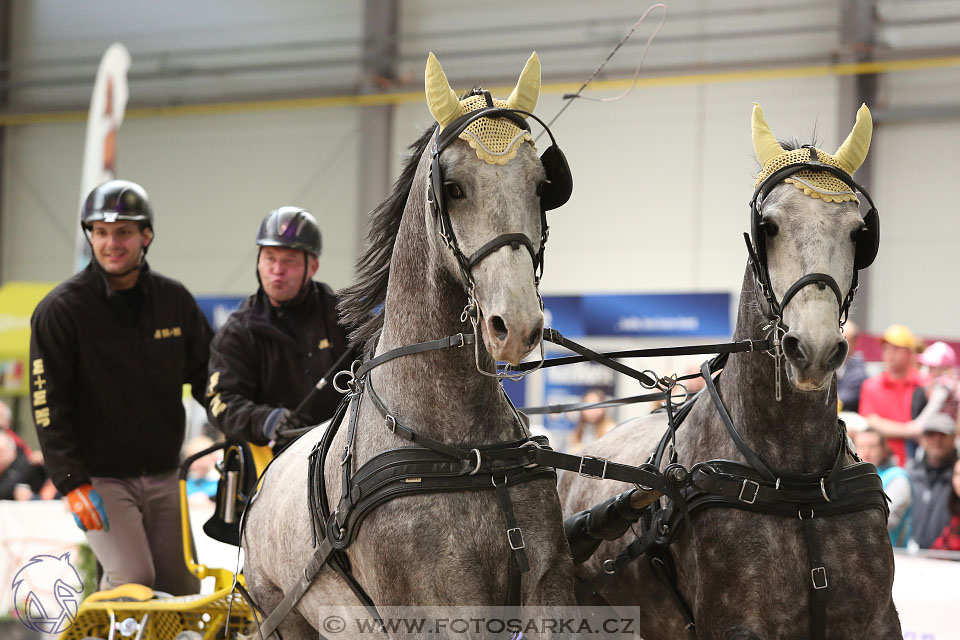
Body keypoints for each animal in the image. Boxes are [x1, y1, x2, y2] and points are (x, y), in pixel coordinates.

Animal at [244, 52, 576, 636]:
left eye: (542, 185)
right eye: (455, 187)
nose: (515, 325)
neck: (463, 454)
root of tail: (260, 488)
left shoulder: (548, 586)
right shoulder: (439, 610)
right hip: (280, 616)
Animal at [556, 102, 900, 636]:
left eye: (859, 233)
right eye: (769, 226)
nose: (815, 349)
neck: (795, 483)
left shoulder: (877, 621)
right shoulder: (736, 623)